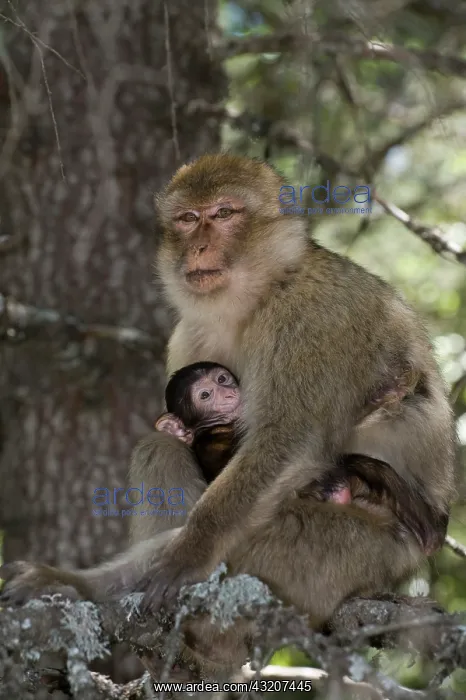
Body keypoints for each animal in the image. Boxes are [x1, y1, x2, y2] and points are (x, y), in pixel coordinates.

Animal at [0, 154, 455, 677]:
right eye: (186, 219)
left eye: (222, 214)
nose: (198, 244)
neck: (256, 299)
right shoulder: (189, 334)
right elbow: (177, 431)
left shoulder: (313, 315)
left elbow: (289, 439)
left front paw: (191, 551)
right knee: (158, 447)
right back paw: (96, 595)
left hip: (347, 552)